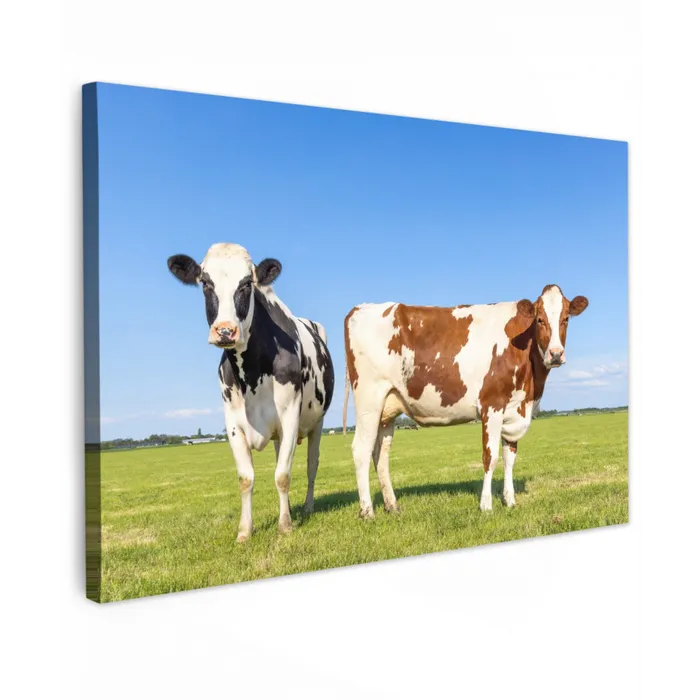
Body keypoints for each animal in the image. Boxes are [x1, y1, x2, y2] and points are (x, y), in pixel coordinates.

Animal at [168, 243, 334, 542]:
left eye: (246, 284)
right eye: (205, 283)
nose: (225, 331)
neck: (252, 373)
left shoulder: (290, 416)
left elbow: (283, 475)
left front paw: (285, 526)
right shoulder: (234, 423)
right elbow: (246, 478)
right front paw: (245, 531)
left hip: (317, 422)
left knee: (311, 465)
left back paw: (306, 507)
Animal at [342, 284, 588, 518]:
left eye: (566, 319)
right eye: (539, 319)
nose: (556, 354)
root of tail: (359, 309)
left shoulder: (514, 410)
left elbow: (510, 457)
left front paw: (509, 500)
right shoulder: (492, 405)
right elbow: (491, 457)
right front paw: (486, 505)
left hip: (387, 408)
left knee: (380, 454)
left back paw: (392, 506)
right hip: (369, 399)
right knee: (361, 450)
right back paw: (367, 511)